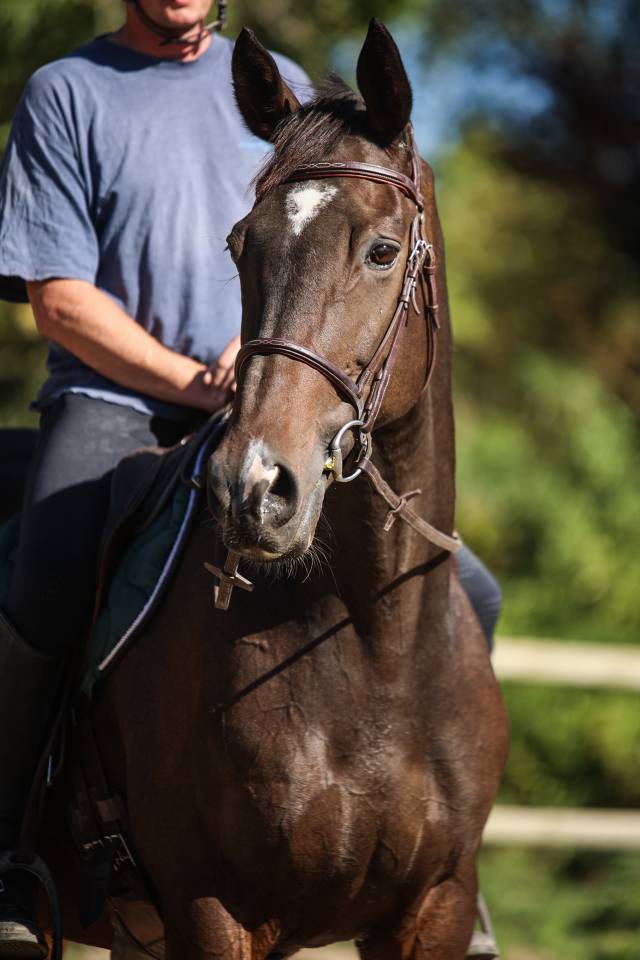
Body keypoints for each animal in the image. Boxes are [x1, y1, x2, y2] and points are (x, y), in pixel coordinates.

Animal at [38, 19, 507, 960]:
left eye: (381, 251)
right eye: (240, 247)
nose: (253, 487)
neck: (376, 649)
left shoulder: (433, 908)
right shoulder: (213, 910)